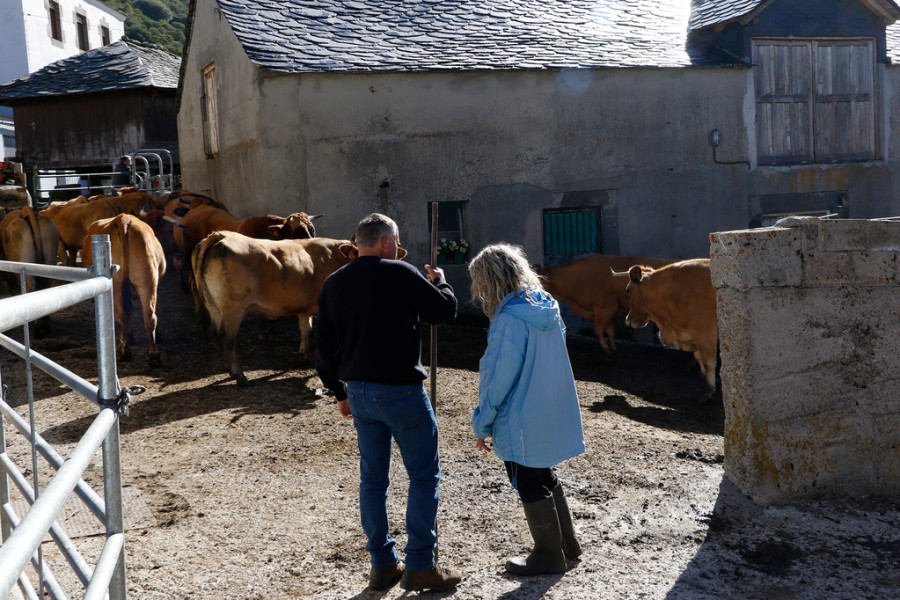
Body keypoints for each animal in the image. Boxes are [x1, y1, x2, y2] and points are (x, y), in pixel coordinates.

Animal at [81, 216, 168, 366]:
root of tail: (122, 218)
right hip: (147, 280)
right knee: (149, 315)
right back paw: (153, 355)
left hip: (117, 284)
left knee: (123, 315)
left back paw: (125, 351)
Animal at [192, 230, 356, 384]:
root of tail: (221, 235)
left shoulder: (304, 306)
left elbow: (305, 329)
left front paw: (303, 358)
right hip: (233, 308)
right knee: (227, 338)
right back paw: (240, 376)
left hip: (214, 307)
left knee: (215, 333)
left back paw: (230, 370)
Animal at [536, 254, 676, 356]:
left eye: (540, 280)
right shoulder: (611, 313)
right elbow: (610, 332)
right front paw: (613, 350)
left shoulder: (605, 308)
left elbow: (597, 330)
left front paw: (607, 351)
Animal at [624, 258, 720, 398]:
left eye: (628, 290)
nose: (627, 320)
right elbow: (698, 356)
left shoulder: (704, 332)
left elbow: (709, 362)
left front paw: (709, 391)